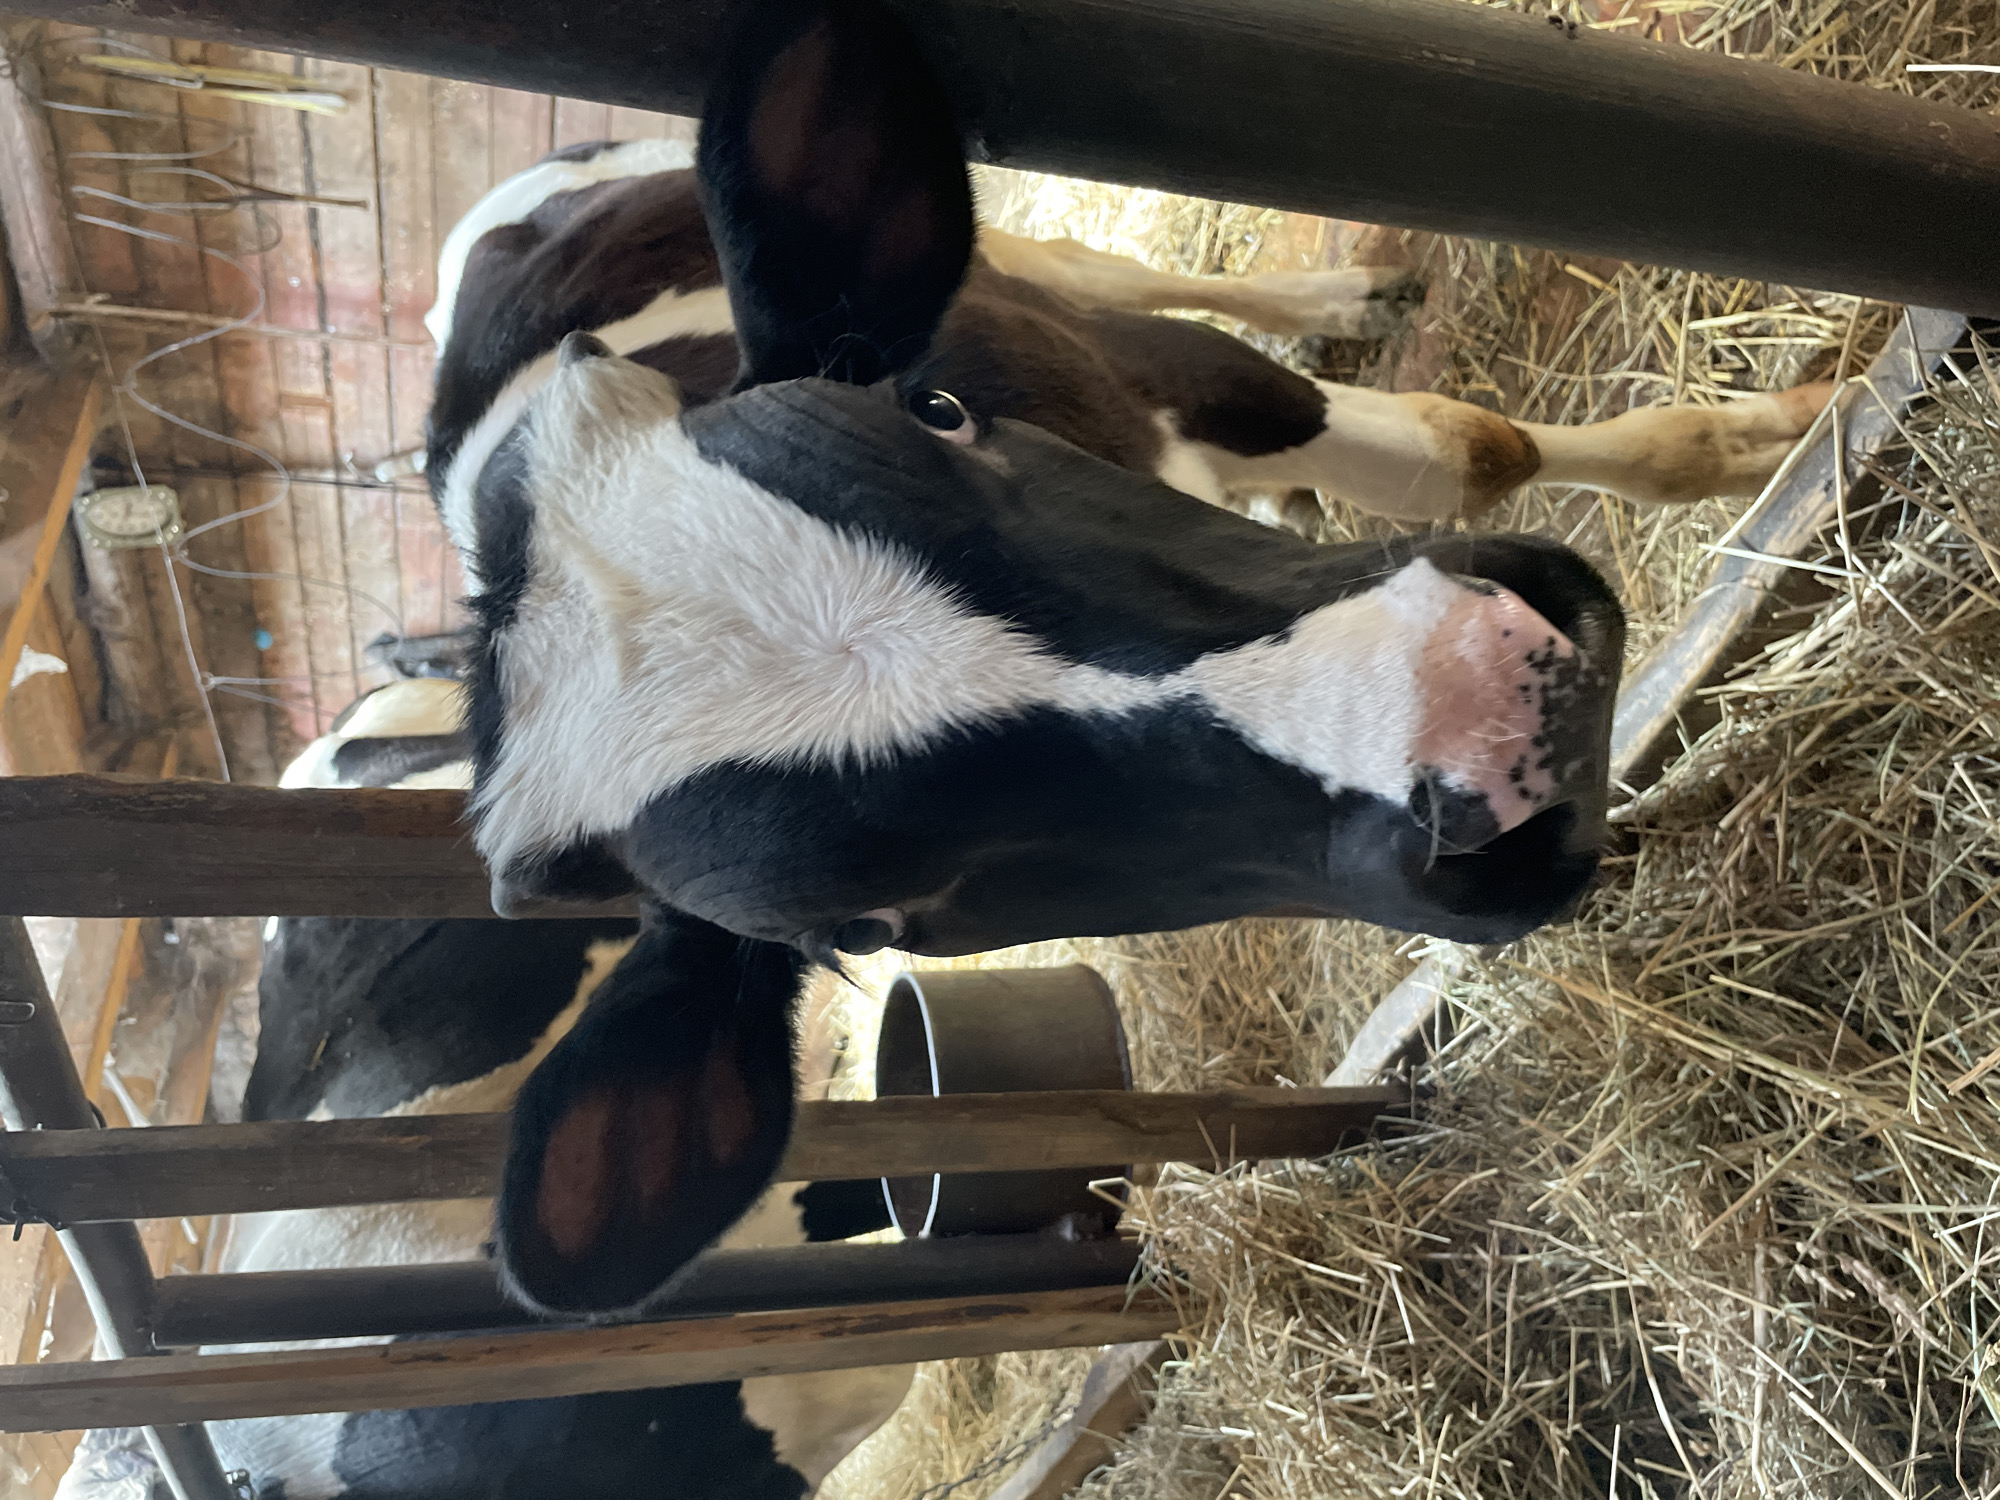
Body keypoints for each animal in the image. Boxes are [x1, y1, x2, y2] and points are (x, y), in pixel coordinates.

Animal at [423, 0, 1836, 1320]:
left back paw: (1338, 303)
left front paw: (1784, 431)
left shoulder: (1161, 368)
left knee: (1113, 268)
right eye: (864, 925)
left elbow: (1464, 448)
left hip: (1043, 269)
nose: (1479, 707)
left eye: (936, 412)